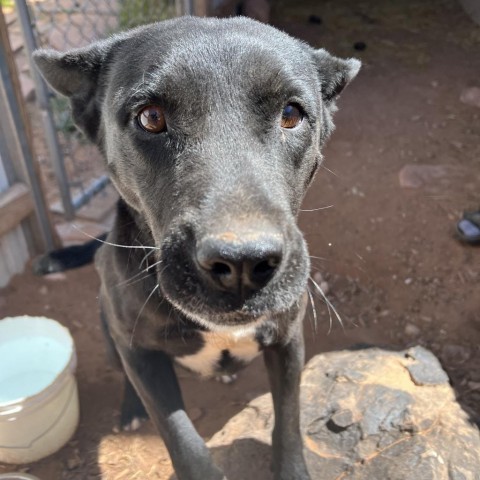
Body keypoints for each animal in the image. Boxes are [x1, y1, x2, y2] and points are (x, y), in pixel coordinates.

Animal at [33, 15, 360, 480]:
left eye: (291, 114)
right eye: (150, 117)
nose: (242, 264)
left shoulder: (288, 340)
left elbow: (289, 420)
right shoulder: (139, 352)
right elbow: (182, 439)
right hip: (112, 336)